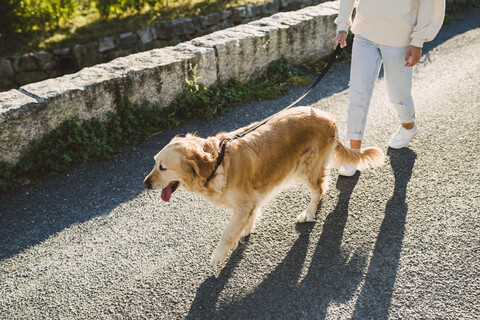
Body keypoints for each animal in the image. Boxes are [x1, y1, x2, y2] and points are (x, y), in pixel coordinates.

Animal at [142, 106, 382, 266]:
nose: (145, 183)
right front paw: (246, 229)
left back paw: (309, 212)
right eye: (154, 163)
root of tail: (327, 117)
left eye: (163, 167)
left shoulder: (244, 202)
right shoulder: (250, 200)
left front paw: (218, 256)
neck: (218, 162)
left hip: (307, 167)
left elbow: (227, 233)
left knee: (320, 188)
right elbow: (247, 218)